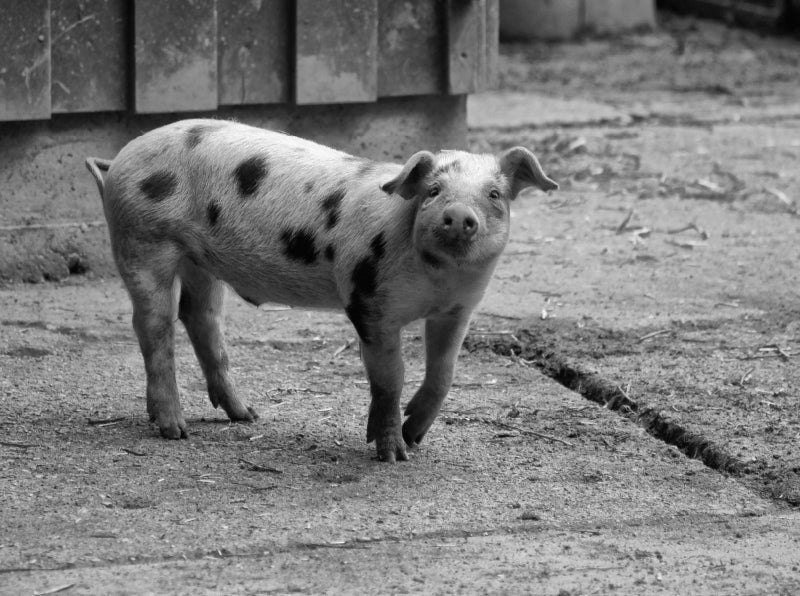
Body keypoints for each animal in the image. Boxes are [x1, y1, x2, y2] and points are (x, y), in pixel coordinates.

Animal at [83, 117, 556, 460]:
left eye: (494, 195)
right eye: (434, 191)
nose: (458, 214)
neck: (437, 279)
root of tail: (119, 159)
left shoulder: (458, 309)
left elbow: (444, 374)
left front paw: (414, 435)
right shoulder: (368, 304)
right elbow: (392, 377)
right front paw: (393, 454)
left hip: (201, 261)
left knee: (200, 319)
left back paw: (246, 415)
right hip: (143, 240)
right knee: (154, 326)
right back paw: (175, 431)